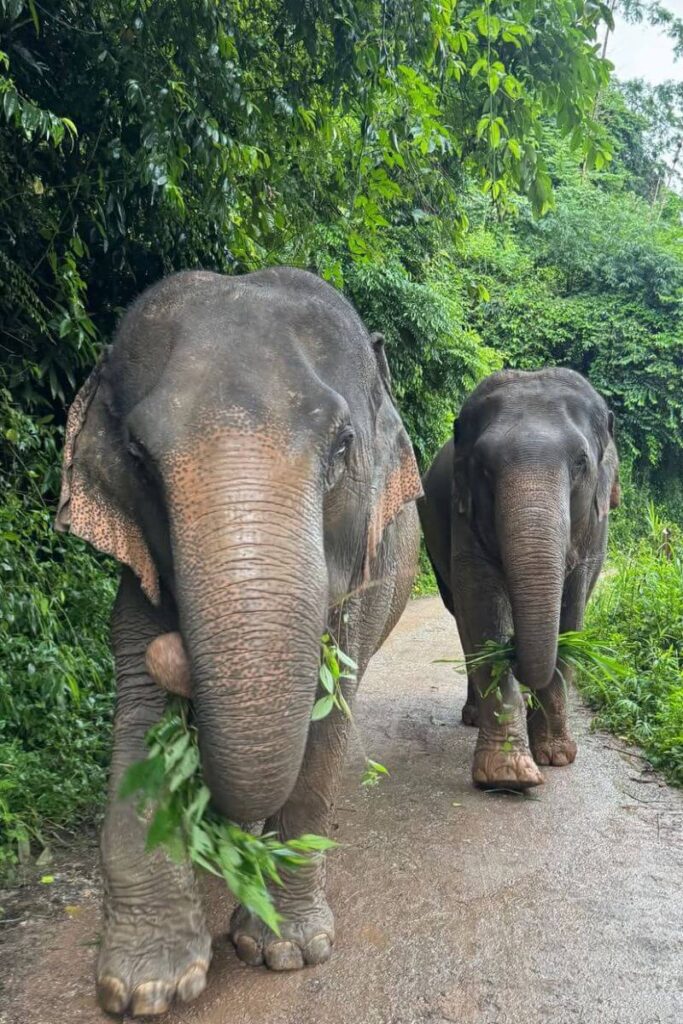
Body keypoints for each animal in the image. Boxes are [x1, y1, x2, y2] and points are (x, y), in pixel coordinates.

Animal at [55, 267, 421, 1016]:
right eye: (138, 457)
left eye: (342, 446)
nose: (177, 656)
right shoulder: (136, 572)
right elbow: (139, 718)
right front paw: (145, 988)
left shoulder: (359, 582)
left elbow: (328, 712)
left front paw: (287, 950)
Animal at [419, 368, 620, 790]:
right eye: (484, 467)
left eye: (581, 463)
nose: (514, 651)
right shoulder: (463, 515)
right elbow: (481, 607)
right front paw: (509, 773)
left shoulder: (596, 529)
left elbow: (572, 612)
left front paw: (556, 756)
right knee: (460, 618)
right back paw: (474, 715)